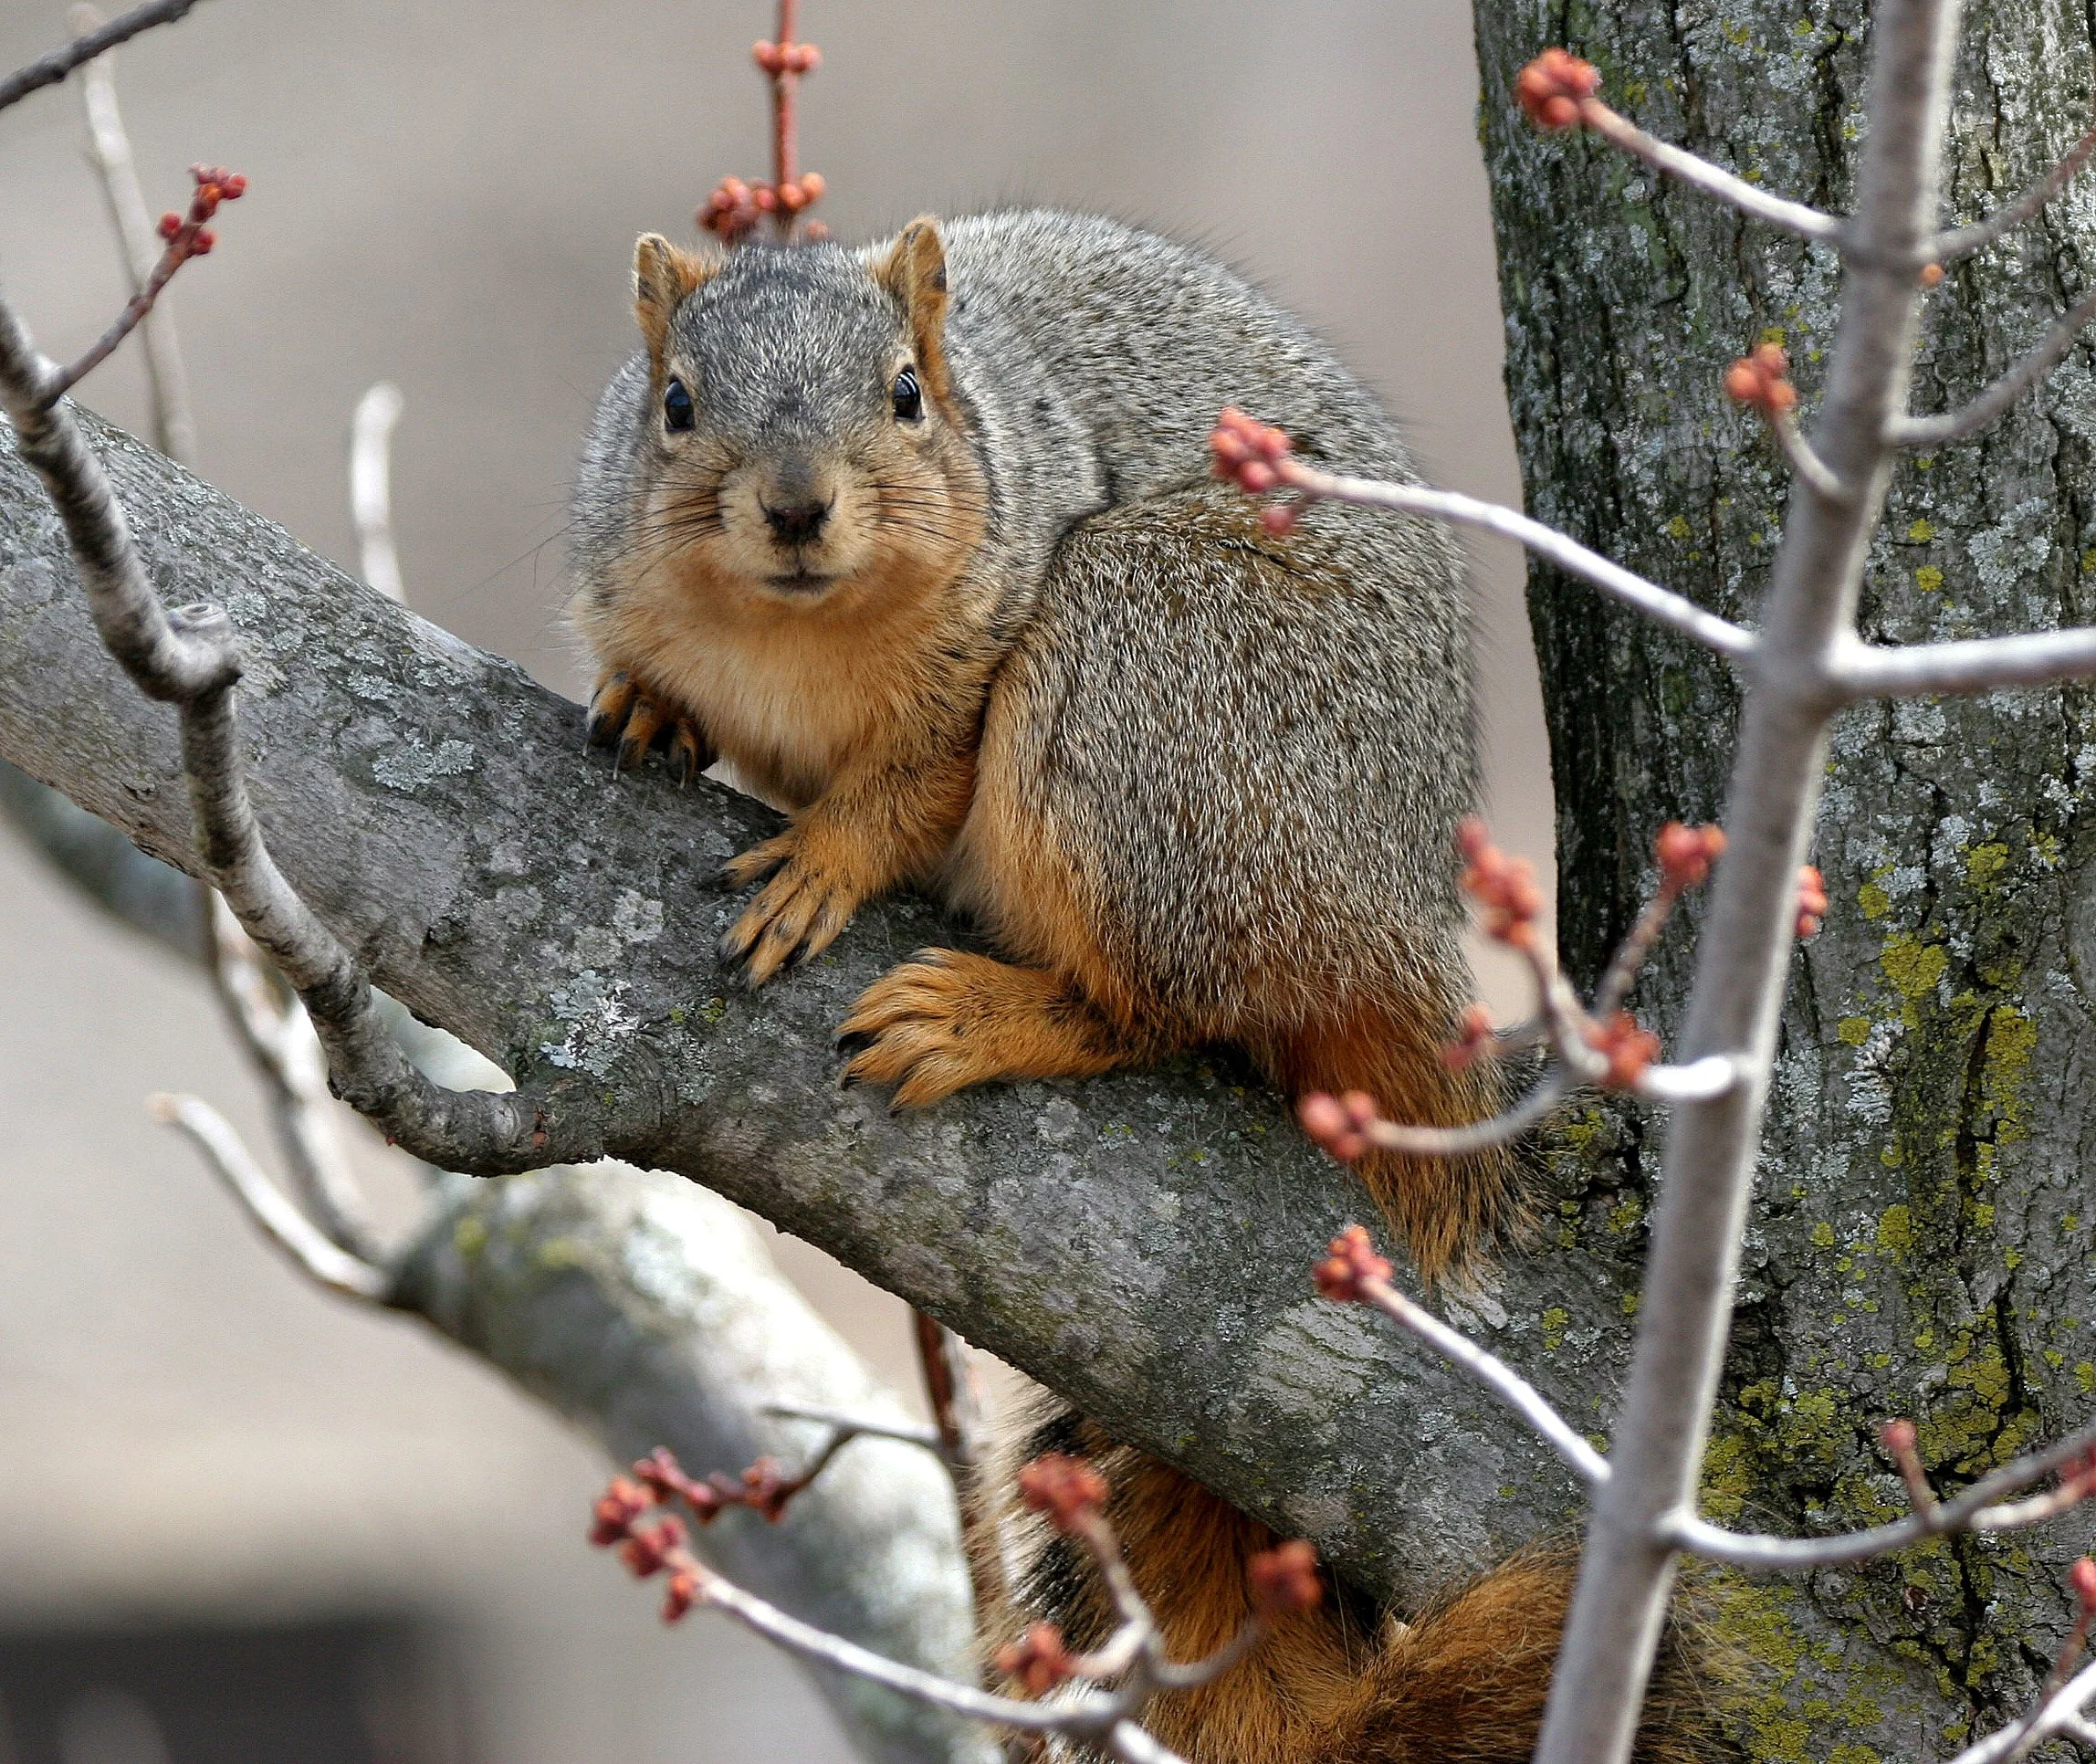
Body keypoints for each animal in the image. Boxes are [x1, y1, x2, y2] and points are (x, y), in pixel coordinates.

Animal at [569, 210, 1720, 1763]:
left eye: (907, 393)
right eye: (675, 404)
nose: (798, 508)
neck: (792, 639)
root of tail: (1395, 921)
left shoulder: (987, 650)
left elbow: (914, 785)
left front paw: (827, 861)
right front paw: (651, 705)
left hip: (1150, 681)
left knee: (1158, 1007)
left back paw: (992, 1015)